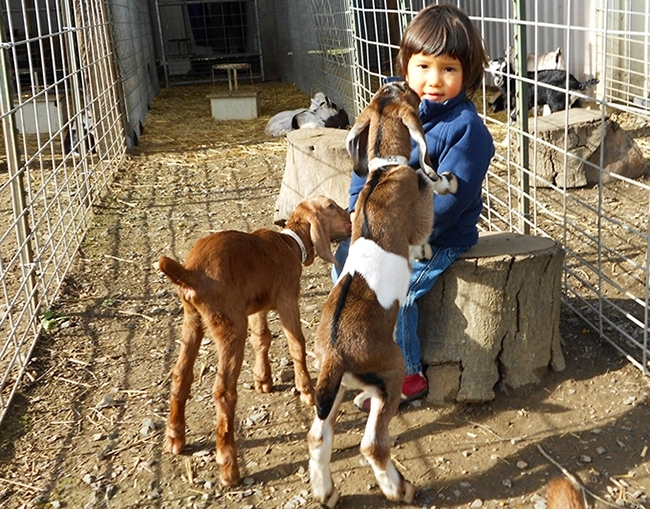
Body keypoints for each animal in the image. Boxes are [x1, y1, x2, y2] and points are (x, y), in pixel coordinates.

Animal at [157, 195, 351, 487]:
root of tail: (190, 273)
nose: (351, 219)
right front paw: (306, 390)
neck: (289, 244)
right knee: (223, 392)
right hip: (230, 325)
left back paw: (175, 439)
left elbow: (262, 338)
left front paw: (263, 380)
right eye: (331, 207)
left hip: (192, 320)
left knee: (181, 374)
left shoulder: (256, 305)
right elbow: (297, 343)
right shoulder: (286, 298)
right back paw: (229, 468)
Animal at [307, 81, 457, 507]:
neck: (385, 167)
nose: (405, 83)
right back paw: (400, 487)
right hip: (390, 373)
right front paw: (446, 181)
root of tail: (336, 354)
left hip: (333, 390)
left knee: (318, 435)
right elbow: (427, 187)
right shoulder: (421, 209)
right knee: (372, 444)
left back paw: (326, 492)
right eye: (407, 92)